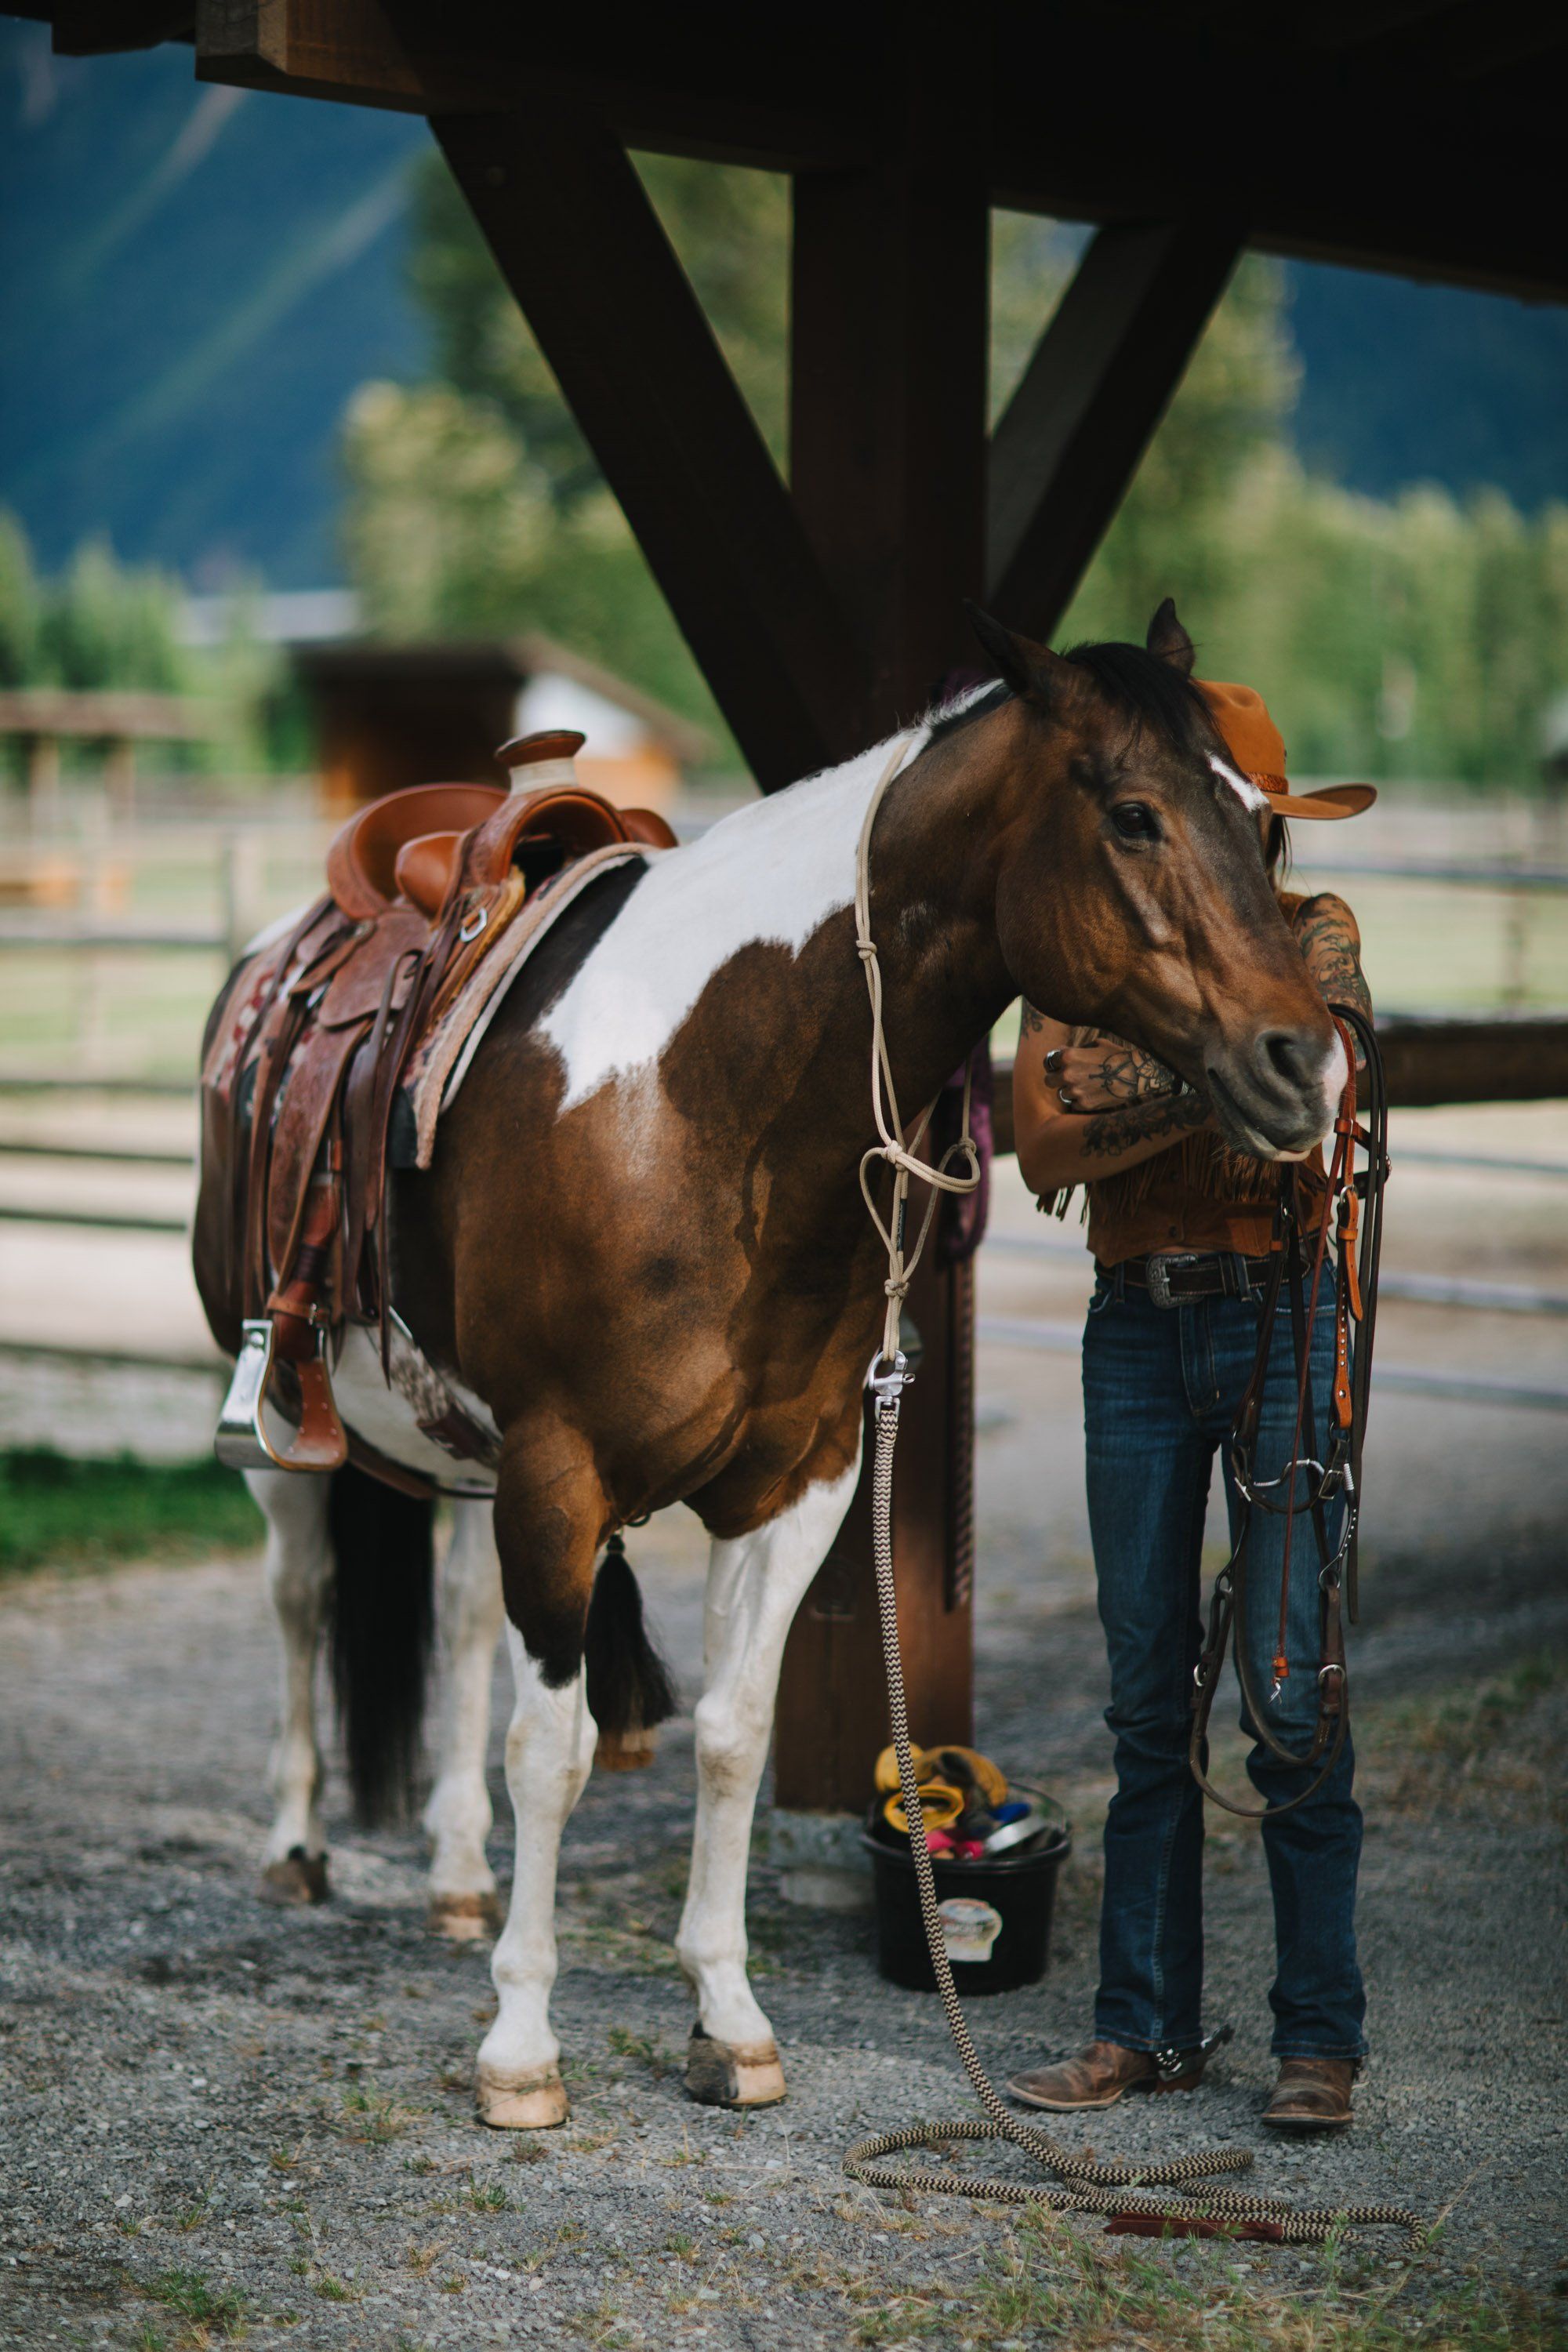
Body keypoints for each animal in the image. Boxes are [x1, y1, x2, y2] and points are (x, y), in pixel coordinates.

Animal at [194, 601, 1347, 2129]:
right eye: (1137, 815)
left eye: (1258, 820)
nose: (1306, 1063)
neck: (695, 1102)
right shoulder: (559, 1478)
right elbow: (553, 1754)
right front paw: (521, 2045)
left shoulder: (797, 1478)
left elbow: (733, 1734)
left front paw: (728, 2018)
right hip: (283, 1426)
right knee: (301, 1597)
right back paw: (294, 1845)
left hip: (461, 1449)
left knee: (451, 1624)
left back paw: (450, 1876)